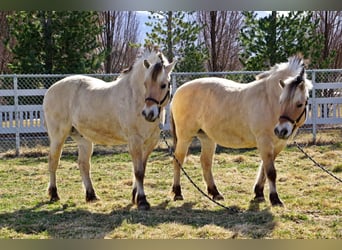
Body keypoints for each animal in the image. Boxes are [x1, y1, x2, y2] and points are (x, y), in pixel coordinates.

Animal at [42, 48, 176, 209]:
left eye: (163, 85)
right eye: (145, 83)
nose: (148, 113)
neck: (134, 97)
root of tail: (51, 89)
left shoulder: (150, 142)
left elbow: (140, 169)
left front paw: (135, 197)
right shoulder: (134, 141)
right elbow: (138, 171)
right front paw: (142, 200)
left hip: (83, 139)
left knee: (83, 164)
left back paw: (91, 195)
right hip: (58, 137)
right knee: (53, 161)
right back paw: (54, 194)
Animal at [170, 54, 312, 205]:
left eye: (299, 104)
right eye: (281, 101)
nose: (281, 131)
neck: (269, 100)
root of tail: (178, 91)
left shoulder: (278, 145)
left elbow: (264, 169)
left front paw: (259, 193)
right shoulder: (264, 142)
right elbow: (270, 172)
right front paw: (274, 199)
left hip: (207, 138)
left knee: (206, 162)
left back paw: (215, 193)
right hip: (185, 137)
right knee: (178, 160)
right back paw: (178, 193)